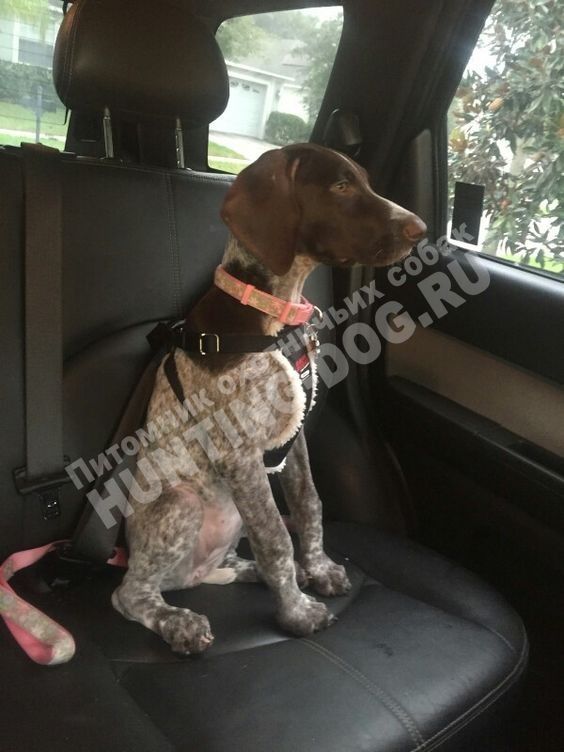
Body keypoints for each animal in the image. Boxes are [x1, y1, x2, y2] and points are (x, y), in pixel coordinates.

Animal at [112, 143, 426, 654]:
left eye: (364, 181)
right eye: (341, 186)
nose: (420, 229)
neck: (273, 313)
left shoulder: (291, 439)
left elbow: (308, 505)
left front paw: (316, 570)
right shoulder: (240, 454)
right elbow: (276, 536)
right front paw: (296, 612)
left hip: (228, 520)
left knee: (224, 565)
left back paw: (257, 573)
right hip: (182, 503)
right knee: (131, 595)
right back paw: (178, 621)